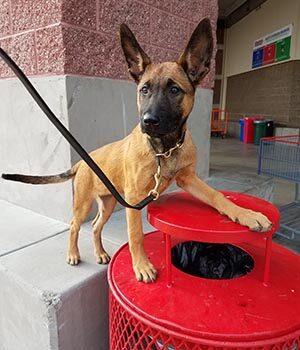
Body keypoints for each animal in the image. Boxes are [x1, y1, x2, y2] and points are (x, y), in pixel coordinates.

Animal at [1, 19, 272, 284]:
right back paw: (73, 253)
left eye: (175, 90)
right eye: (144, 89)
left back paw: (100, 253)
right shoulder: (133, 198)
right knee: (74, 225)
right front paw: (141, 266)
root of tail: (82, 162)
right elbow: (136, 235)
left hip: (109, 202)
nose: (148, 121)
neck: (164, 149)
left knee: (96, 226)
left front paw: (246, 214)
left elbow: (217, 196)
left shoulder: (188, 179)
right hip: (84, 203)